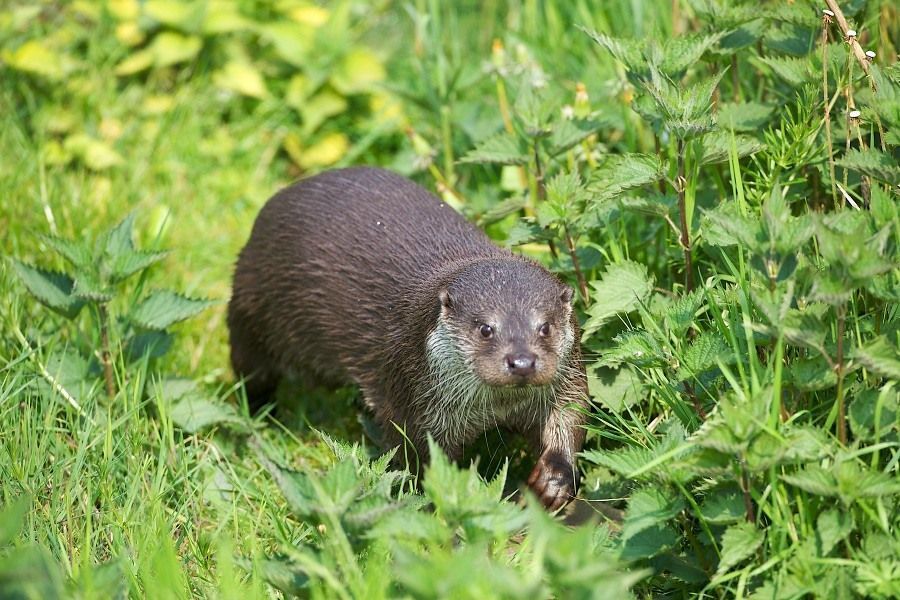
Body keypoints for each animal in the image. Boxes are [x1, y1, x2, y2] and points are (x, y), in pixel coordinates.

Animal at [229, 166, 588, 508]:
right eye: (485, 328)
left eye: (545, 327)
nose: (522, 362)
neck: (496, 409)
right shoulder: (412, 402)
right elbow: (419, 461)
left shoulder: (567, 381)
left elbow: (572, 418)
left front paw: (554, 479)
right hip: (251, 310)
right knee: (250, 372)